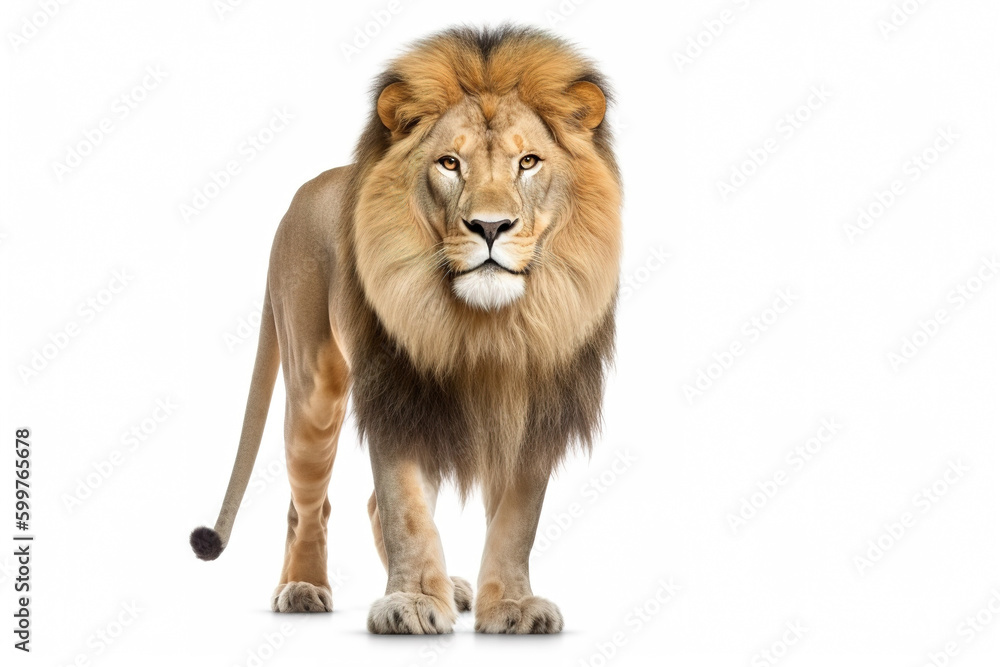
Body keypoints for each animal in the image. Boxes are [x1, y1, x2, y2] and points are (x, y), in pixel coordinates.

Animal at [189, 25, 622, 635]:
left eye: (529, 161)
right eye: (449, 163)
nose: (491, 226)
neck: (488, 328)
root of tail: (305, 191)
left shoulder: (534, 410)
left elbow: (516, 523)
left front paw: (510, 606)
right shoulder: (398, 397)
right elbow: (406, 511)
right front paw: (413, 603)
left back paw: (455, 588)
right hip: (313, 389)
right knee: (308, 505)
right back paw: (302, 588)